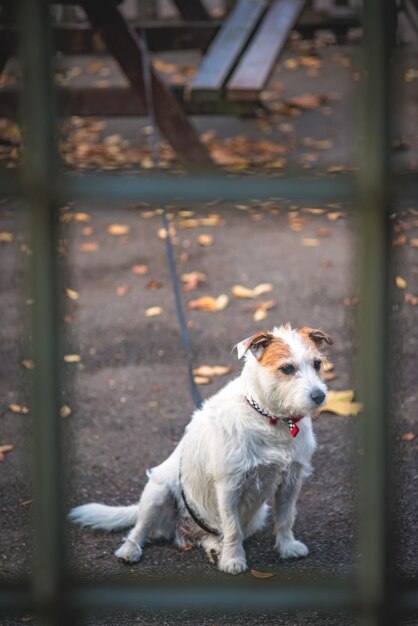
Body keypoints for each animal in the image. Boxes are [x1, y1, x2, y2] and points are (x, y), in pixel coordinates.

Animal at [71, 324, 334, 572]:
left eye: (317, 363)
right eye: (287, 369)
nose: (319, 396)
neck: (271, 419)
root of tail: (182, 530)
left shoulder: (291, 482)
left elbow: (285, 519)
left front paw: (287, 547)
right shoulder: (229, 486)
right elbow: (232, 529)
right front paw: (233, 560)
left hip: (254, 517)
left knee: (211, 536)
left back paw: (214, 547)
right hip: (157, 494)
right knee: (139, 529)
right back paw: (130, 549)